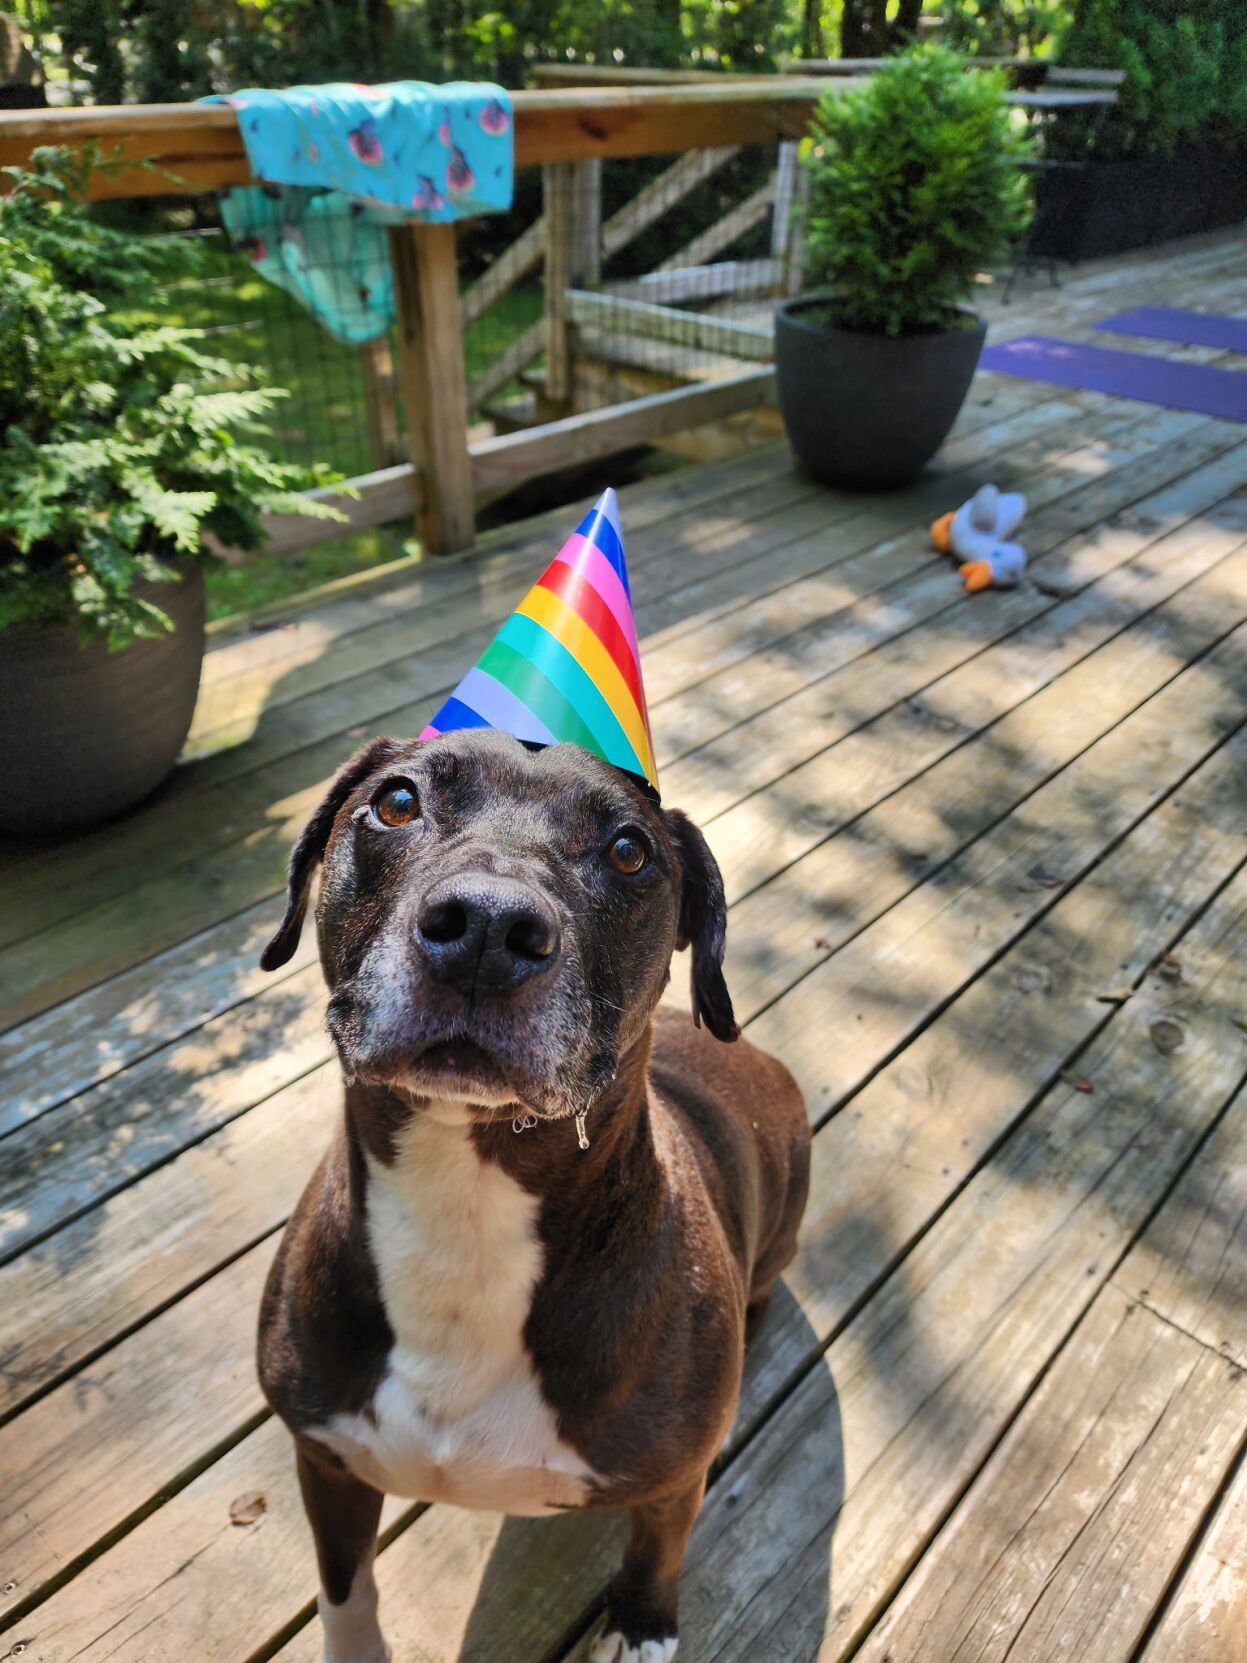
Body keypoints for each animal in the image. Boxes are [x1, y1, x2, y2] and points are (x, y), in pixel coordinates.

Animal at [257, 728, 810, 1663]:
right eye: (396, 802)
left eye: (629, 851)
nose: (486, 925)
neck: (465, 1196)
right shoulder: (325, 1460)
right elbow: (346, 1590)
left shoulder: (666, 1486)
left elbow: (657, 1555)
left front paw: (640, 1627)